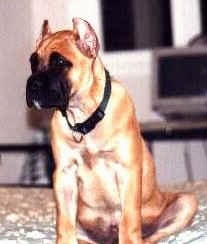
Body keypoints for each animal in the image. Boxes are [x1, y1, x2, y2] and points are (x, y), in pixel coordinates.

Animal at [25, 18, 197, 243]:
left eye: (59, 63)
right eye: (33, 62)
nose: (32, 84)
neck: (85, 118)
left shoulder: (127, 170)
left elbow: (129, 219)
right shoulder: (65, 174)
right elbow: (64, 221)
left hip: (186, 202)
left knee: (152, 235)